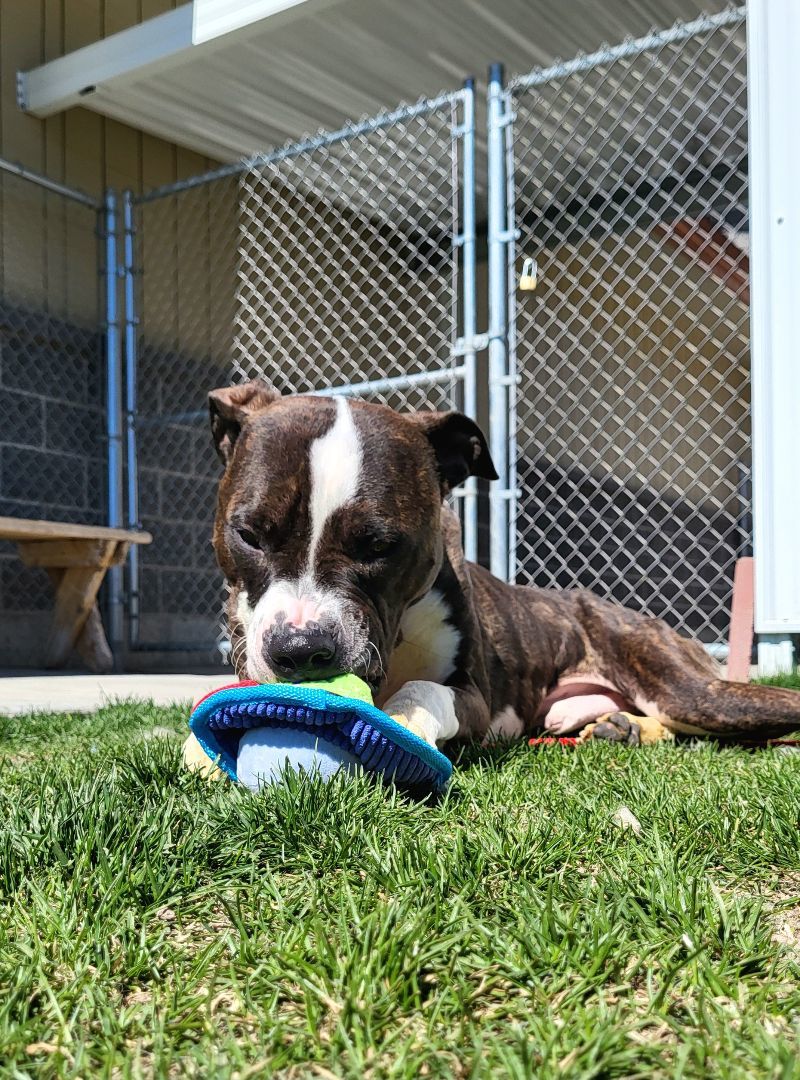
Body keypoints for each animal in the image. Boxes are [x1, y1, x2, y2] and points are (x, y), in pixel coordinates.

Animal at [184, 380, 798, 768]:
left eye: (379, 545)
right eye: (250, 534)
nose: (300, 649)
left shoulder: (472, 693)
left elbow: (424, 689)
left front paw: (404, 719)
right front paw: (200, 747)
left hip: (691, 692)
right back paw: (620, 728)